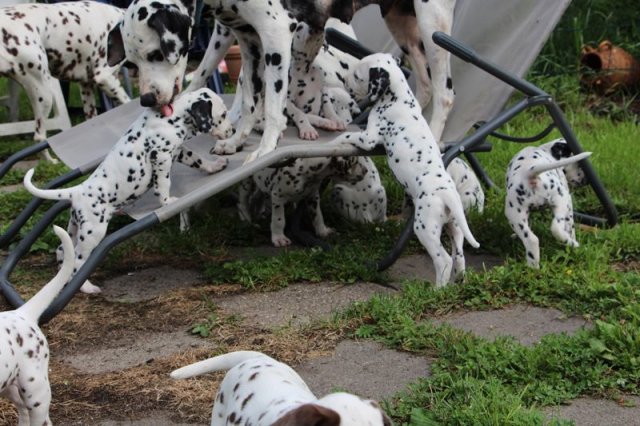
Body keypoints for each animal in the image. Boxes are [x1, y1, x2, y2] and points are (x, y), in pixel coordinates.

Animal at [23, 88, 232, 294]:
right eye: (222, 115)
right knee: (78, 263)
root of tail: (76, 192)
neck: (173, 117)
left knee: (62, 251)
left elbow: (198, 160)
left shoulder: (180, 152)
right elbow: (163, 183)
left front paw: (214, 166)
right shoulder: (161, 156)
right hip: (93, 232)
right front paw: (167, 201)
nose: (233, 130)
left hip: (76, 228)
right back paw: (87, 287)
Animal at [108, 0, 456, 163]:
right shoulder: (249, 43)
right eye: (132, 61)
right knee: (425, 86)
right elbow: (250, 103)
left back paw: (434, 135)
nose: (147, 99)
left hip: (433, 27)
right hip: (404, 27)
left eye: (156, 54)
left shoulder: (274, 36)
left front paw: (264, 150)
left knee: (445, 93)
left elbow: (273, 108)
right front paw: (236, 141)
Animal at [238, 156, 367, 247]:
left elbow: (318, 216)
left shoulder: (313, 197)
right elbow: (279, 220)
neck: (305, 171)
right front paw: (279, 238)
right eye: (354, 161)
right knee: (242, 202)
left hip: (262, 186)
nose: (365, 170)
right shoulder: (278, 197)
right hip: (247, 183)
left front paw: (323, 231)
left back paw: (258, 215)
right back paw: (247, 220)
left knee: (256, 198)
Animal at [330, 53, 479, 286]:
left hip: (424, 228)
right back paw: (458, 281)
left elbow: (348, 135)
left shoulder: (369, 137)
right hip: (455, 226)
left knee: (444, 260)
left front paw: (334, 141)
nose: (344, 82)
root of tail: (447, 194)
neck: (399, 98)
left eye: (356, 75)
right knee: (459, 256)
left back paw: (437, 289)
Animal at [505, 139, 592, 268]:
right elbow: (570, 226)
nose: (587, 180)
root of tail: (530, 173)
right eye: (579, 165)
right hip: (561, 201)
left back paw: (533, 266)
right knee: (556, 228)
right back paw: (572, 243)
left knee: (532, 239)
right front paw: (572, 238)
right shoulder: (568, 203)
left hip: (514, 215)